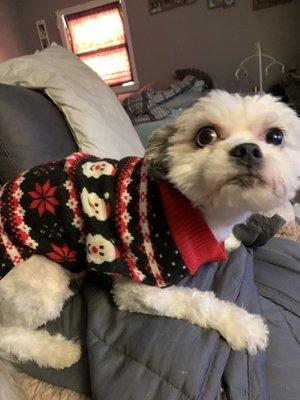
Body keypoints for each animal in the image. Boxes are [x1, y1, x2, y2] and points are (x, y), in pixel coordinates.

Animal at [0, 91, 298, 400]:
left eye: (276, 136)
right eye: (205, 135)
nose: (247, 150)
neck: (188, 206)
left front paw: (228, 241)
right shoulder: (139, 287)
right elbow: (199, 301)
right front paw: (241, 325)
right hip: (41, 279)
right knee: (6, 334)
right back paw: (57, 351)